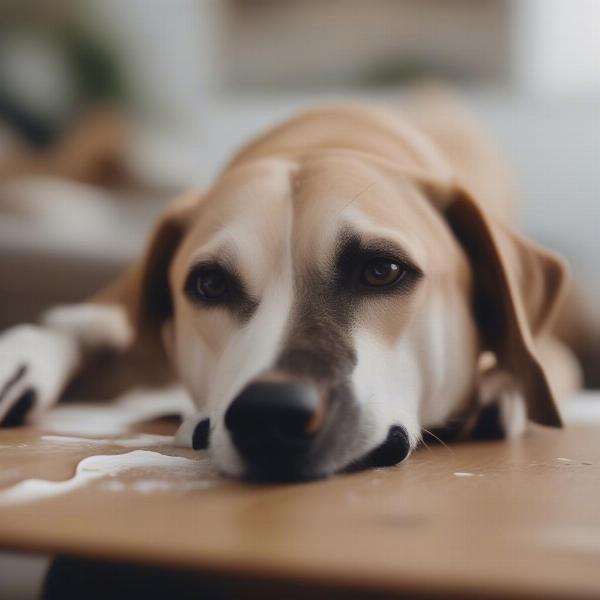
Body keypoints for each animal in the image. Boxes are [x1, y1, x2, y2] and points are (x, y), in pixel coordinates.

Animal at [0, 95, 580, 482]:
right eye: (210, 283)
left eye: (382, 271)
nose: (270, 414)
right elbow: (80, 324)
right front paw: (22, 355)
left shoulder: (553, 353)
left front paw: (500, 390)